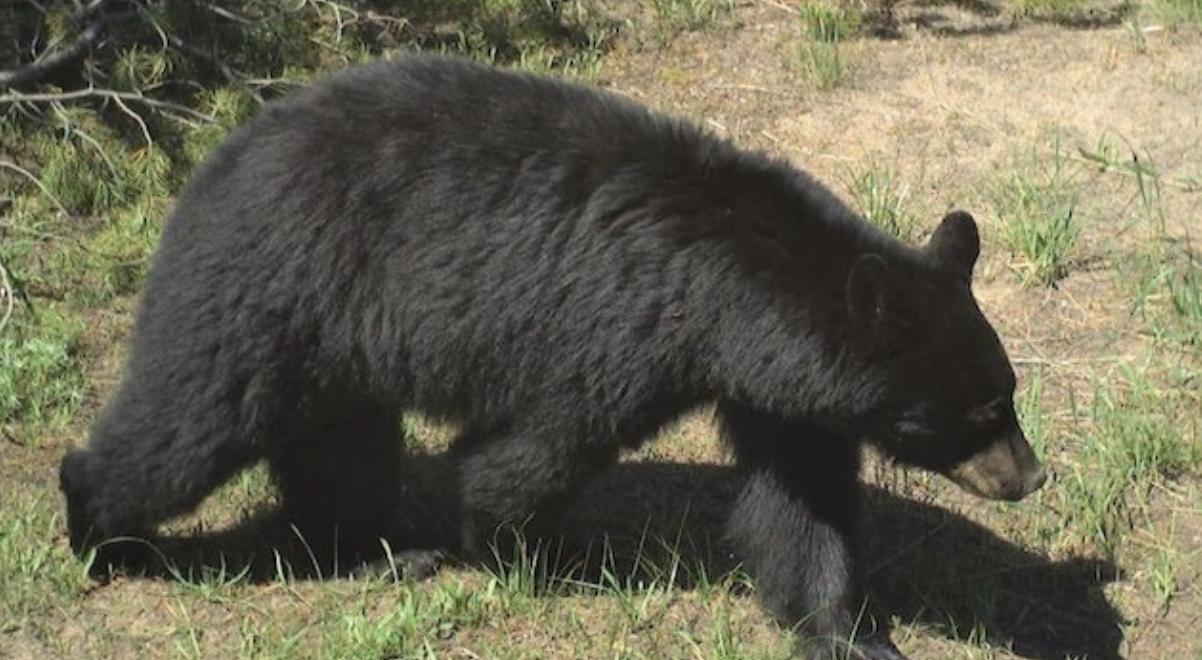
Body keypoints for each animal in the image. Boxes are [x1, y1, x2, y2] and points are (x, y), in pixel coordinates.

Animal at [59, 54, 1046, 659]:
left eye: (1008, 394)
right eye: (981, 412)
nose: (1030, 476)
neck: (731, 295)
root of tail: (219, 155)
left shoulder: (779, 391)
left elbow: (803, 507)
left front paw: (850, 630)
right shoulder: (617, 331)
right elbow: (532, 449)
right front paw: (522, 551)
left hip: (332, 339)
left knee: (338, 443)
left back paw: (379, 549)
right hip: (273, 284)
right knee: (187, 423)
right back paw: (100, 532)